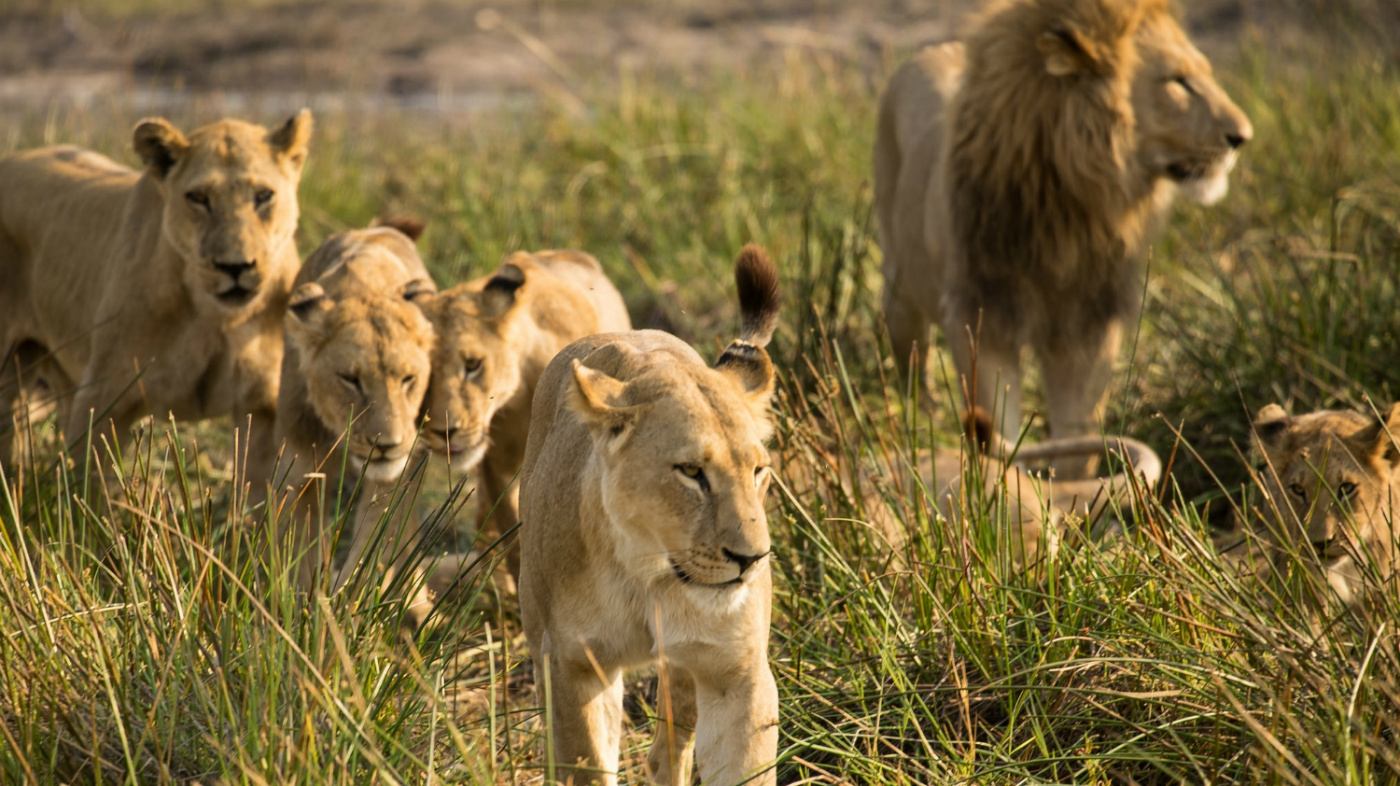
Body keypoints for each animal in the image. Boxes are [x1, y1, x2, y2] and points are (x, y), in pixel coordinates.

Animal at [0, 111, 312, 492]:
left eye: (263, 195)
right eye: (198, 197)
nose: (235, 266)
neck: (215, 318)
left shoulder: (263, 407)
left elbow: (261, 498)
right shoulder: (104, 400)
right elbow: (88, 491)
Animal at [270, 218, 437, 612]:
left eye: (408, 379)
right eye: (350, 379)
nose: (387, 445)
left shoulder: (396, 474)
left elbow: (371, 548)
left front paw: (345, 609)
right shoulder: (299, 463)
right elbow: (298, 554)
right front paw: (302, 614)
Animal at [518, 245, 781, 786]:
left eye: (759, 471)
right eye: (691, 472)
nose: (752, 558)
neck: (647, 572)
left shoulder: (737, 671)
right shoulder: (572, 665)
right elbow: (586, 766)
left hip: (684, 668)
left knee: (667, 751)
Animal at [874, 0, 1252, 476]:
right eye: (1177, 81)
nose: (1243, 138)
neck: (1068, 207)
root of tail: (929, 49)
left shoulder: (1087, 327)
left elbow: (1076, 433)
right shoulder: (982, 316)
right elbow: (996, 418)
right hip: (900, 290)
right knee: (911, 361)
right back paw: (919, 418)